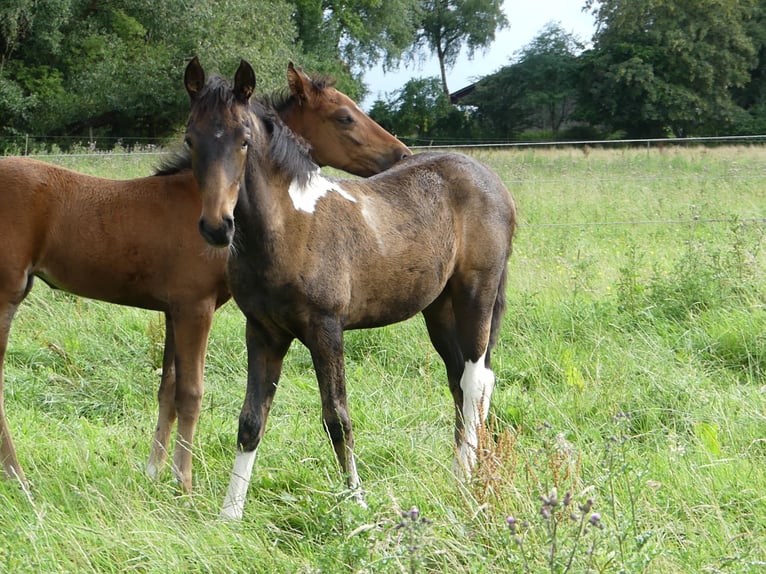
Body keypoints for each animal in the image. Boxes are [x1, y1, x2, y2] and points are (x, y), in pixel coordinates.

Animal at [0, 62, 412, 496]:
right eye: (344, 116)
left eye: (244, 141)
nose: (402, 154)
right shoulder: (194, 307)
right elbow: (191, 392)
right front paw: (184, 482)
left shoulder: (171, 310)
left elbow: (167, 388)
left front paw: (153, 473)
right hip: (6, 295)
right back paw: (18, 479)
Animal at [182, 59, 516, 520]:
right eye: (190, 139)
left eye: (244, 141)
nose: (217, 226)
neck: (287, 226)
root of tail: (494, 182)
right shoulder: (263, 332)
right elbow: (251, 419)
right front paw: (229, 515)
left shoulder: (326, 329)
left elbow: (337, 417)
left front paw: (356, 503)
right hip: (439, 308)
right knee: (461, 379)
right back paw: (463, 474)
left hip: (476, 292)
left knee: (476, 378)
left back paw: (468, 481)